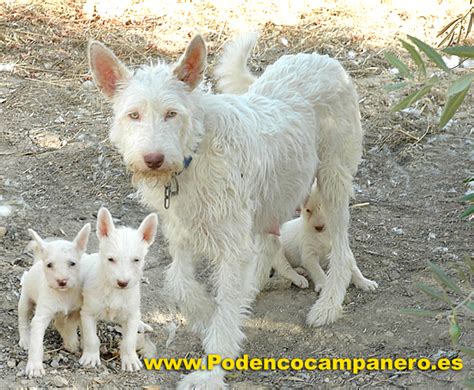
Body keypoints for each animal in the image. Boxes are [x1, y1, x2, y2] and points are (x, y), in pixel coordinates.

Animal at [18, 225, 91, 378]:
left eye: (72, 263)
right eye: (49, 265)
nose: (62, 281)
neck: (63, 294)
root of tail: (37, 262)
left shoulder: (77, 310)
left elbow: (71, 325)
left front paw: (71, 341)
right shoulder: (40, 318)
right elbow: (36, 344)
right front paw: (34, 366)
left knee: (59, 322)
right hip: (25, 302)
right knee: (23, 321)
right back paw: (25, 339)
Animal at [78, 207, 158, 372]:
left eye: (136, 260)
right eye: (111, 259)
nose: (123, 283)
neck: (114, 291)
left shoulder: (131, 316)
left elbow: (129, 341)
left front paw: (130, 360)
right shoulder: (87, 313)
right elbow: (91, 338)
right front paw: (90, 357)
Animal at [88, 35, 362, 388]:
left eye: (171, 113)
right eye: (133, 115)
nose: (153, 159)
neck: (195, 153)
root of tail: (322, 59)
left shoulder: (232, 246)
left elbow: (222, 300)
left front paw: (210, 369)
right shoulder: (181, 235)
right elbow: (179, 282)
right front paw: (209, 318)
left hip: (333, 182)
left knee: (342, 250)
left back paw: (327, 306)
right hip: (270, 195)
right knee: (268, 243)